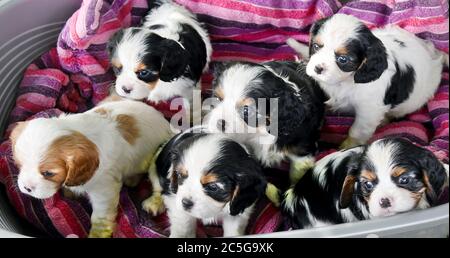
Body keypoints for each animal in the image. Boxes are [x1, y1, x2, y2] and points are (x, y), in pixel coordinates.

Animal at [10, 99, 173, 238]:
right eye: (19, 164)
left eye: (48, 173)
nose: (26, 188)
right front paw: (69, 191)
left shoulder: (104, 190)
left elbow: (100, 217)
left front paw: (97, 234)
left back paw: (152, 201)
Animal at [288, 13, 446, 149]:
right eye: (316, 46)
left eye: (343, 59)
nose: (317, 68)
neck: (345, 81)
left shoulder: (369, 110)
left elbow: (357, 131)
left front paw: (347, 146)